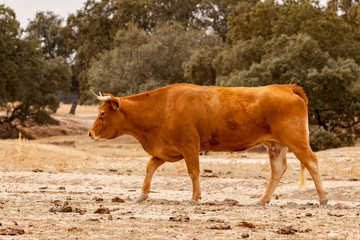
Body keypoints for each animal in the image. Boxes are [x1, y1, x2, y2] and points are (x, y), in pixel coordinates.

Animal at [88, 83, 328, 205]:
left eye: (102, 114)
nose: (90, 133)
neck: (162, 106)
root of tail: (285, 87)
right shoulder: (167, 149)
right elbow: (150, 166)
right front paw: (143, 193)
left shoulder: (189, 145)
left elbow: (194, 171)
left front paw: (195, 197)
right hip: (276, 146)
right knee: (278, 170)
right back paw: (262, 199)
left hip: (296, 140)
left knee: (312, 162)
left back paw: (323, 198)